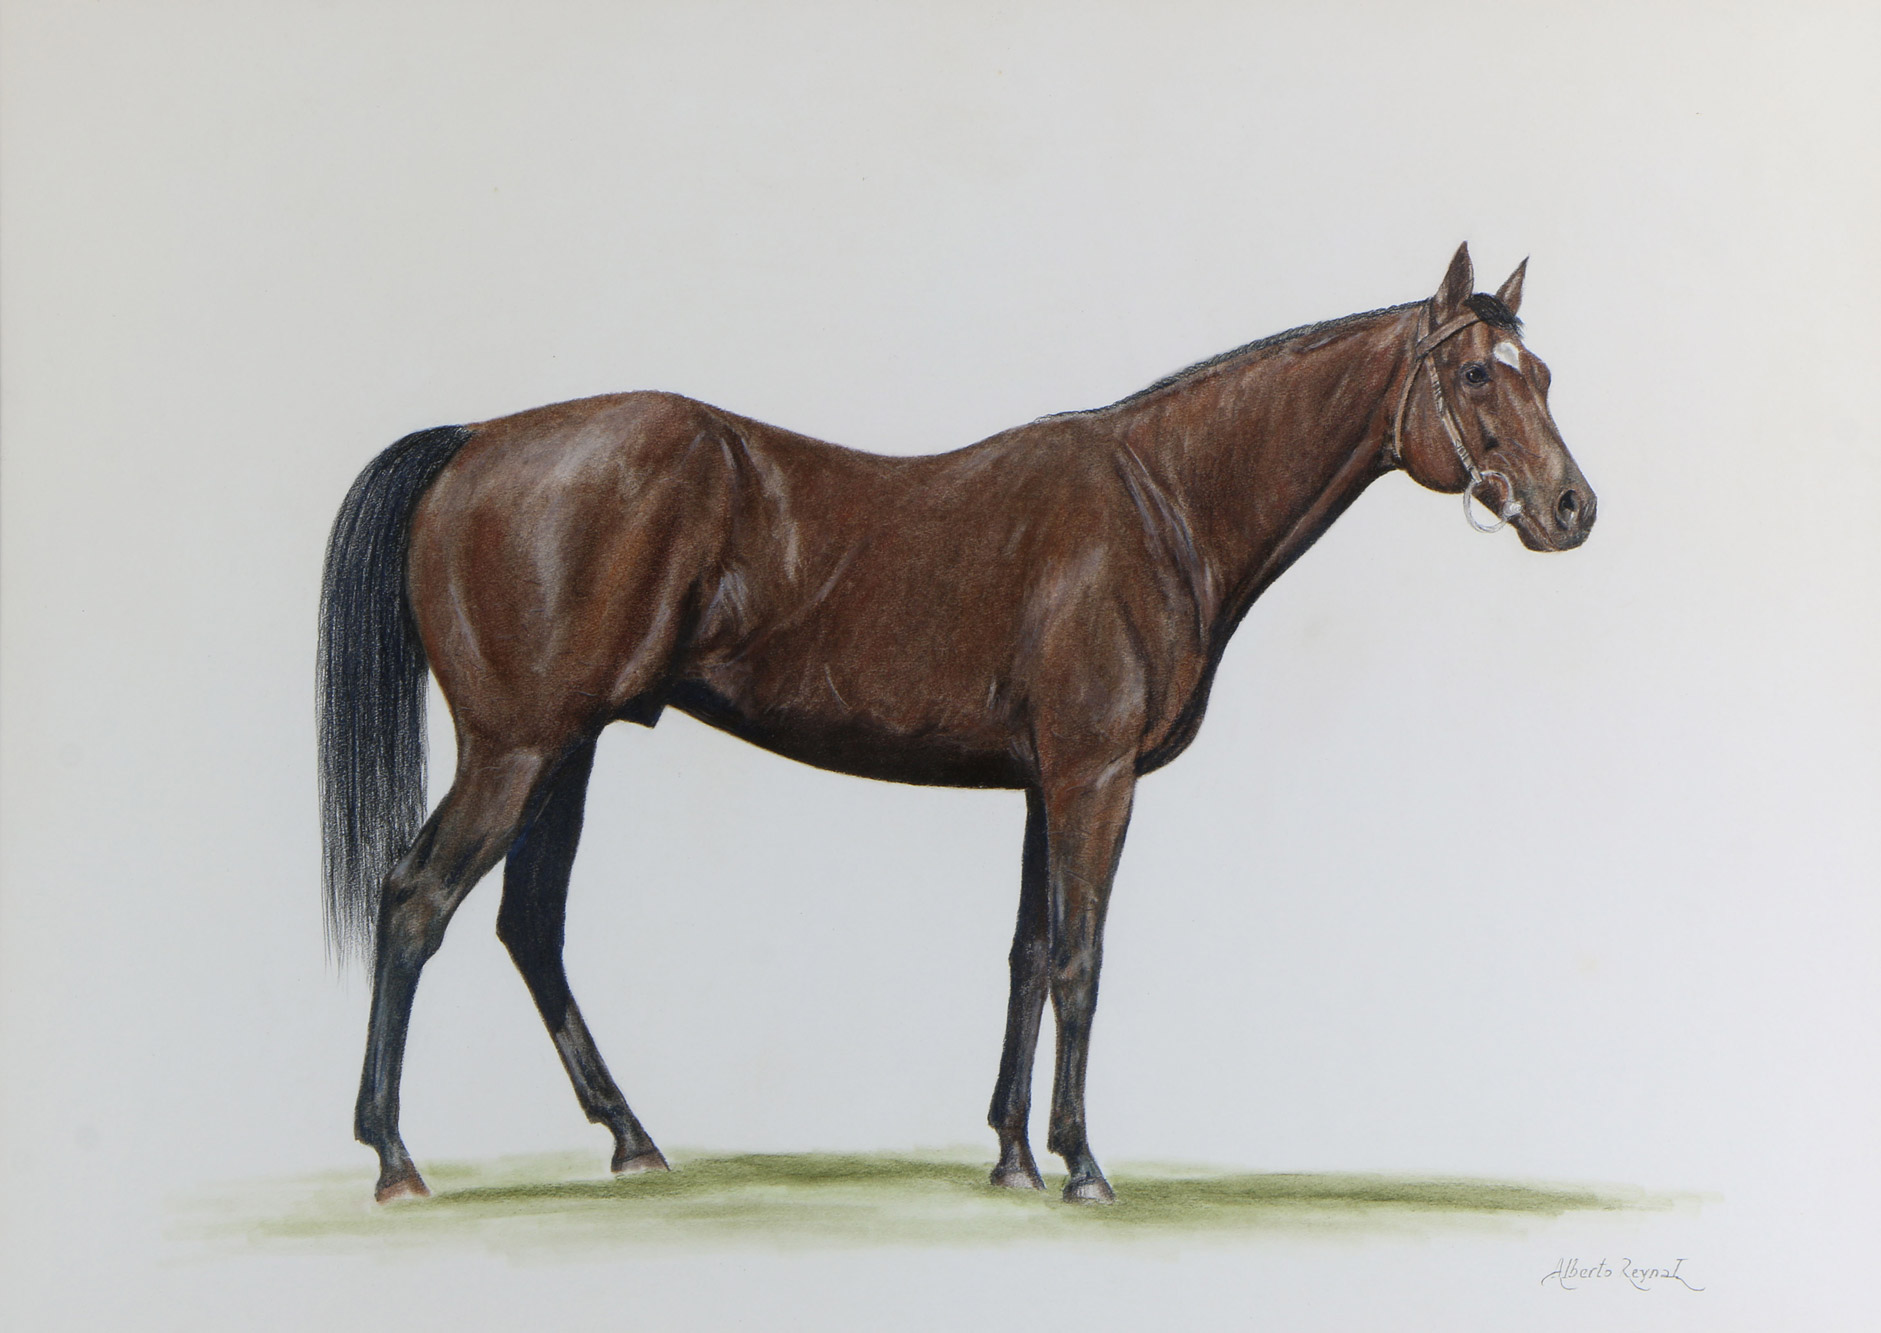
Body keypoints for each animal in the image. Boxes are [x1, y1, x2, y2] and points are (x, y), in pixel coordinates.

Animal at [318, 243, 1595, 1204]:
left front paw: (1014, 1157)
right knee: (417, 903)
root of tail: (476, 440)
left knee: (528, 927)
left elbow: (1027, 955)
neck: (1163, 503)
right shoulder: (1095, 779)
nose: (1573, 508)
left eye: (1540, 371)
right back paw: (396, 1160)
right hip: (519, 750)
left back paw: (631, 1139)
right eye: (1476, 374)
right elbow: (1081, 959)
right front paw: (1083, 1164)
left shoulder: (1043, 782)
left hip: (566, 753)